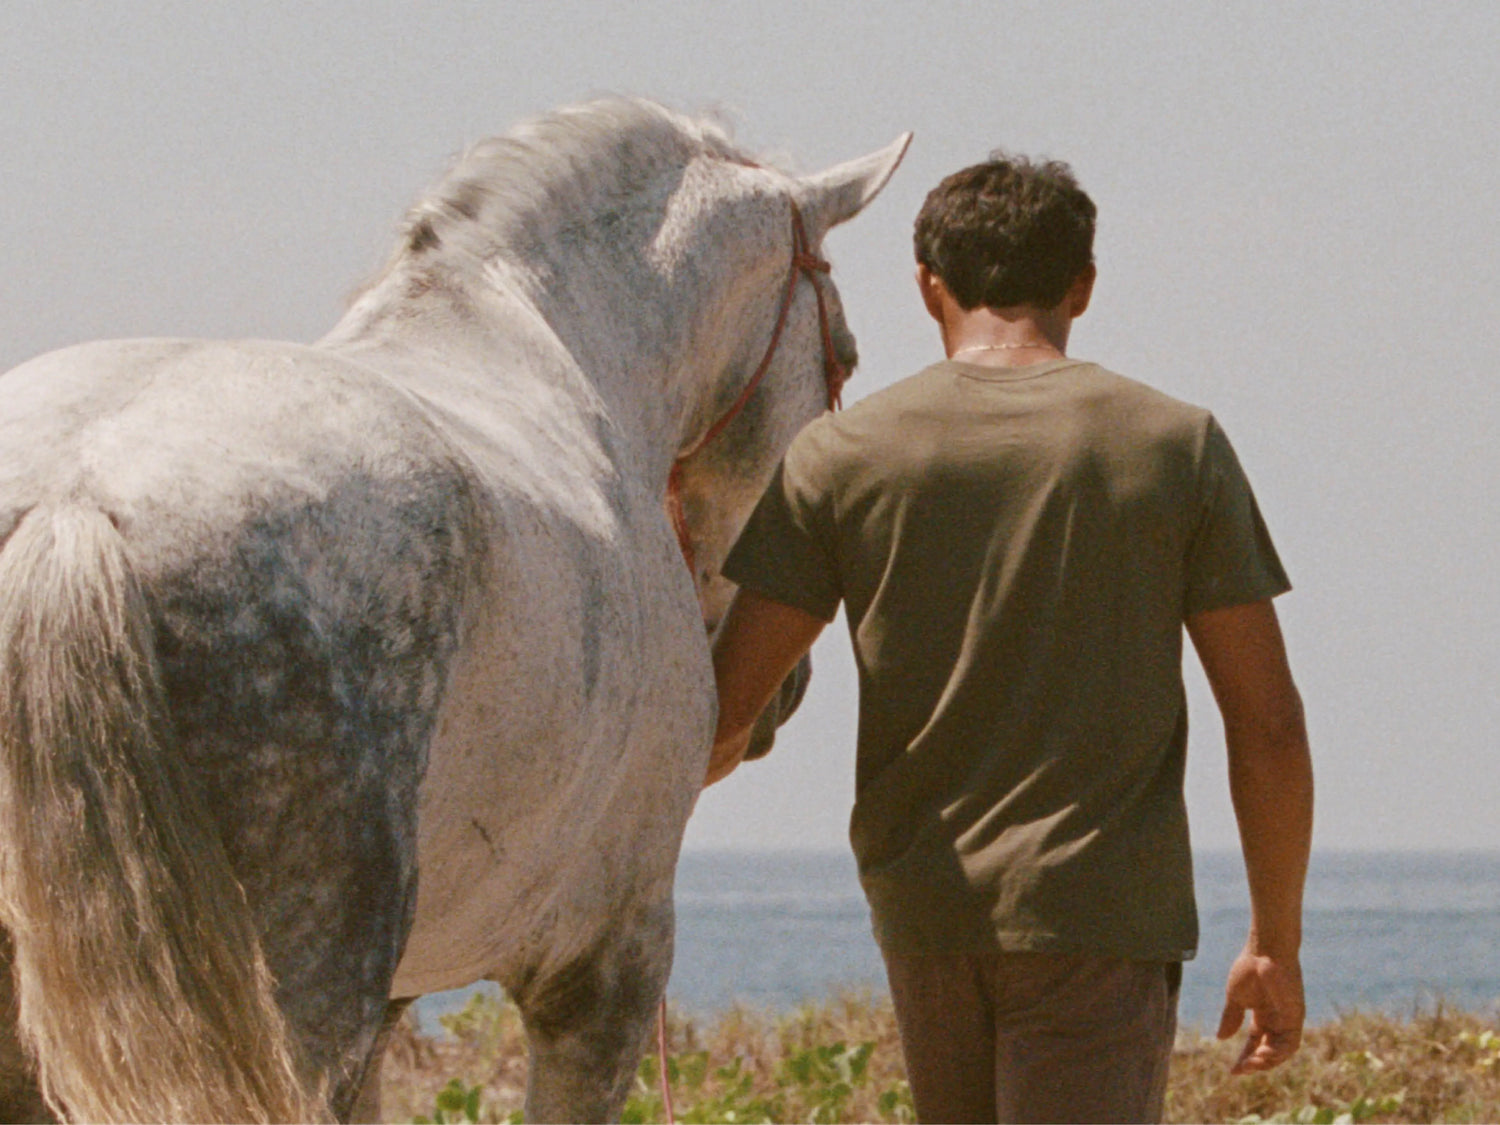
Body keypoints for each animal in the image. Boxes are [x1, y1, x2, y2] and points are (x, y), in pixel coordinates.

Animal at [0, 97, 909, 1123]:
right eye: (845, 356)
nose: (774, 698)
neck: (542, 345)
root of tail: (72, 497)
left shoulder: (401, 1003)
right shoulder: (607, 971)